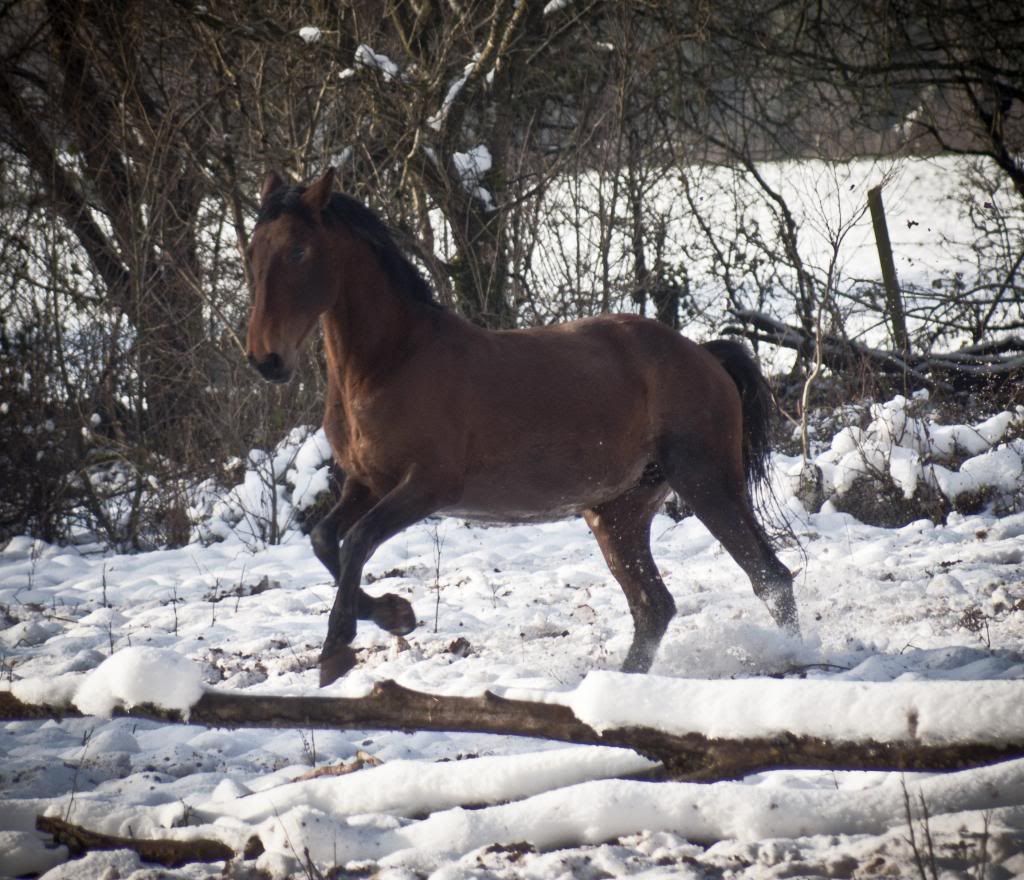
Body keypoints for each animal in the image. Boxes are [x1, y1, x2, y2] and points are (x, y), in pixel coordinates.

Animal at [245, 169, 798, 684]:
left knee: (770, 577)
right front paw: (394, 614)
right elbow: (324, 539)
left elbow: (356, 541)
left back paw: (794, 657)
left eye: (298, 251)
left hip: (706, 482)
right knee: (654, 606)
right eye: (252, 251)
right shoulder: (367, 484)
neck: (390, 364)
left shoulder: (426, 487)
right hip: (617, 513)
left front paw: (340, 647)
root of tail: (702, 354)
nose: (266, 361)